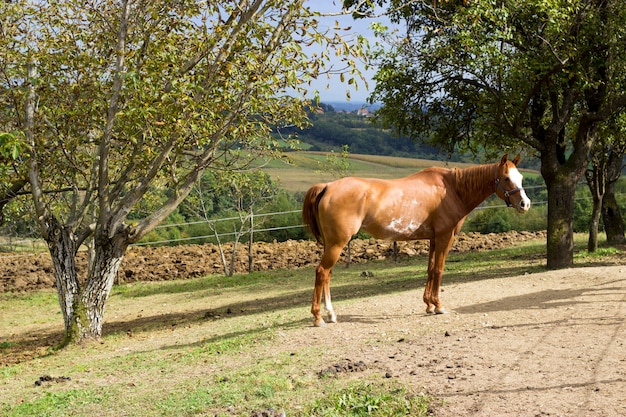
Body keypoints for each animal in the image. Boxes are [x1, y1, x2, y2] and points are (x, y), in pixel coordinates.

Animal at [302, 153, 528, 324]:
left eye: (521, 178)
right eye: (506, 178)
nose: (525, 204)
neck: (453, 189)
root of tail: (328, 186)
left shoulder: (434, 239)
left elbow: (430, 269)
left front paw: (428, 304)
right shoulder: (445, 237)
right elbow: (439, 270)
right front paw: (438, 306)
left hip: (332, 244)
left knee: (327, 275)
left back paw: (331, 314)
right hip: (337, 244)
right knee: (322, 272)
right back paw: (318, 317)